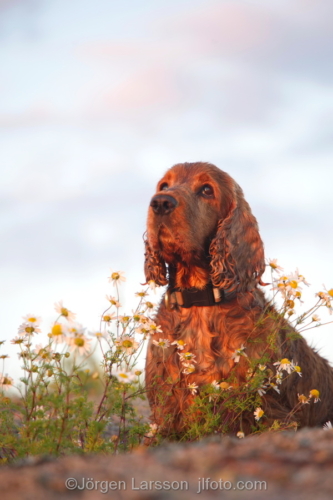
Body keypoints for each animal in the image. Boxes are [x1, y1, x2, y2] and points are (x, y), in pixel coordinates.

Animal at [143, 162, 332, 436]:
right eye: (164, 185)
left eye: (207, 190)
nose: (160, 202)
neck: (200, 304)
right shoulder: (164, 414)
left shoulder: (270, 413)